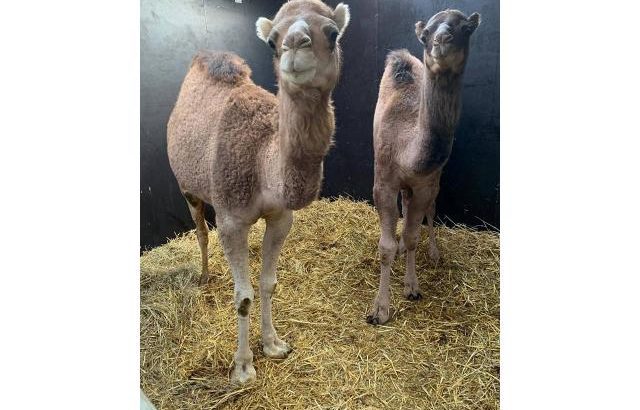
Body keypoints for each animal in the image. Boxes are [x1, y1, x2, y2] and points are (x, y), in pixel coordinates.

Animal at [166, 0, 350, 384]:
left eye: (332, 33)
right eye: (272, 41)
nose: (295, 44)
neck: (264, 160)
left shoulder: (281, 217)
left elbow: (268, 284)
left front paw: (274, 344)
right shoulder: (232, 220)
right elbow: (243, 297)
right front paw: (243, 368)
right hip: (188, 187)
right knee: (201, 231)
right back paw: (204, 275)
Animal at [366, 9, 481, 325]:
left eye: (466, 28)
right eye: (426, 34)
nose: (442, 40)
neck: (407, 149)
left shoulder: (426, 183)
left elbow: (414, 235)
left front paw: (412, 286)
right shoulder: (383, 182)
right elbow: (385, 246)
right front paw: (380, 310)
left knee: (428, 210)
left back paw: (434, 253)